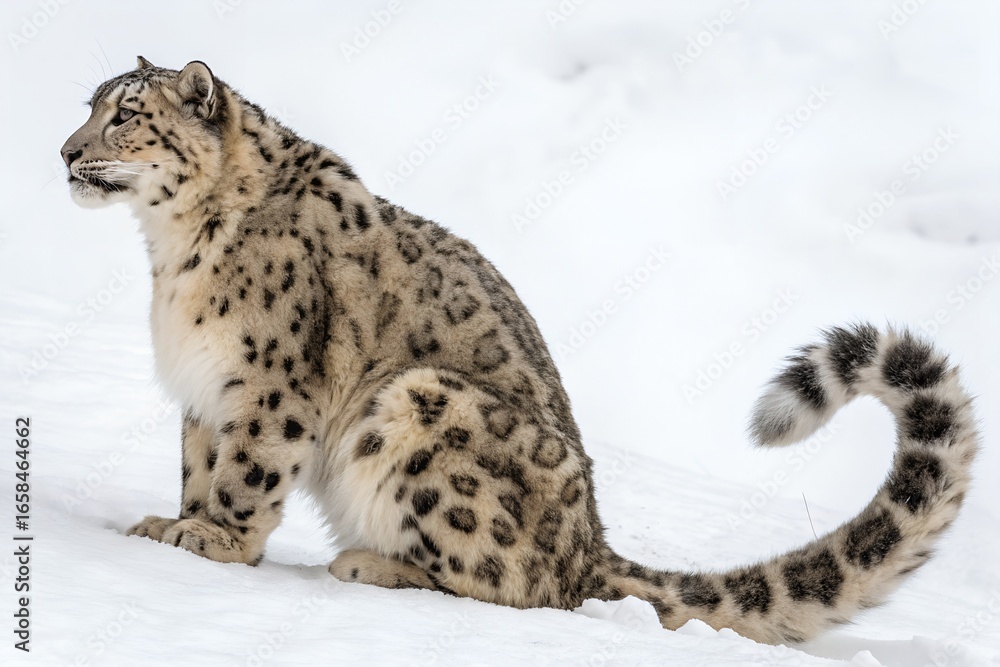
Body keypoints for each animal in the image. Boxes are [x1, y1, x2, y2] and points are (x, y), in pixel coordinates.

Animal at [60, 57, 979, 645]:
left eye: (126, 115)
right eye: (90, 102)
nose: (67, 150)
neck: (173, 252)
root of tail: (589, 542)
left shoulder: (271, 384)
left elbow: (246, 472)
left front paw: (210, 540)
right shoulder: (202, 390)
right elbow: (198, 462)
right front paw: (172, 521)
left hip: (420, 402)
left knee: (517, 588)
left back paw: (369, 563)